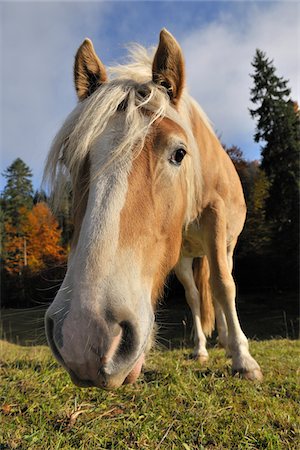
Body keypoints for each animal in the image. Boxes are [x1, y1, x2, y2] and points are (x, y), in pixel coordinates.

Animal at [44, 28, 262, 388]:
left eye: (179, 153)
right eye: (69, 159)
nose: (83, 335)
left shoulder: (217, 222)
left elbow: (224, 285)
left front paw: (243, 359)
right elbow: (199, 295)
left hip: (223, 244)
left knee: (220, 283)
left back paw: (227, 341)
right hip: (184, 258)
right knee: (194, 296)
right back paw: (201, 349)